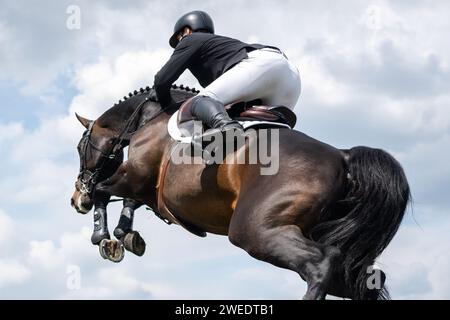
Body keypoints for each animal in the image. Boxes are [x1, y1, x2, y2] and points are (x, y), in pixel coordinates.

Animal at [70, 84, 412, 300]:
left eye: (79, 147)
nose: (76, 200)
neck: (152, 118)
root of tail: (343, 155)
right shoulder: (147, 188)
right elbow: (128, 200)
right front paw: (125, 235)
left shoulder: (135, 175)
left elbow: (104, 192)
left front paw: (104, 238)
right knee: (363, 280)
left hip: (255, 229)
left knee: (319, 265)